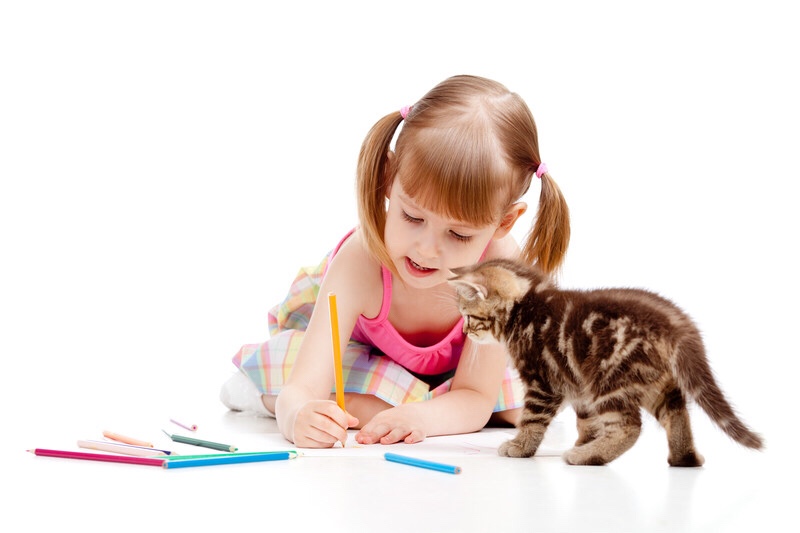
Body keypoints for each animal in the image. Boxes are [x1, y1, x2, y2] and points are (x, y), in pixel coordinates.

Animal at [450, 258, 764, 466]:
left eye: (468, 316)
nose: (464, 332)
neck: (525, 307)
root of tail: (675, 322)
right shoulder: (576, 384)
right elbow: (586, 421)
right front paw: (585, 440)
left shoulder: (543, 382)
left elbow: (531, 419)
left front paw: (521, 446)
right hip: (655, 383)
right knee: (677, 414)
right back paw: (683, 457)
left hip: (610, 378)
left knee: (629, 427)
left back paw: (587, 456)